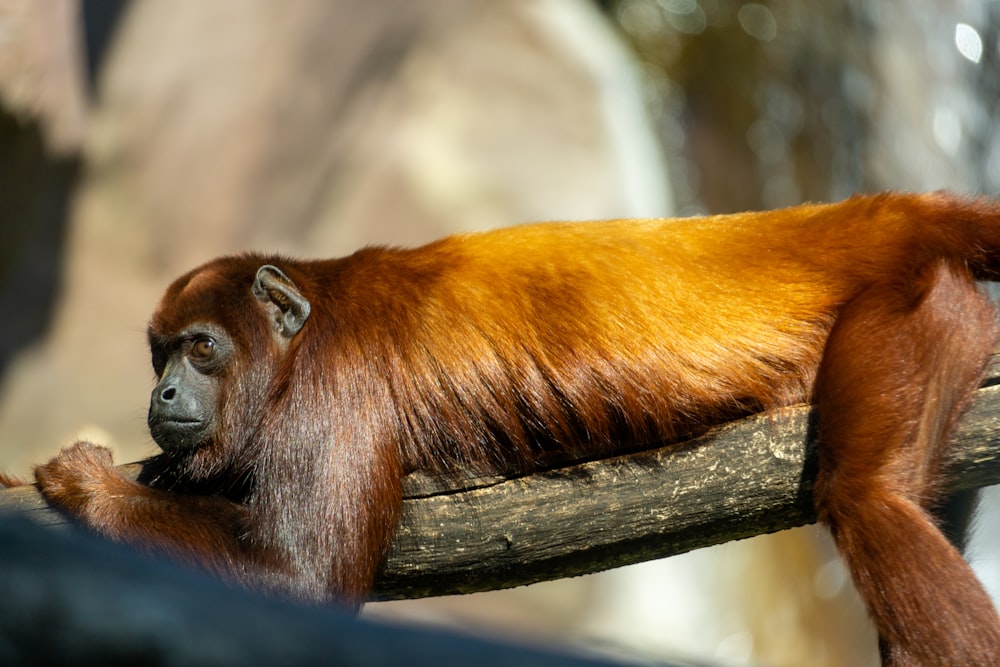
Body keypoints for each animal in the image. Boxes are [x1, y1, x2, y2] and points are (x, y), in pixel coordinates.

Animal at [13, 190, 1000, 664]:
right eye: (158, 355)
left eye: (203, 348)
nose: (161, 394)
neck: (304, 326)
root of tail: (878, 218)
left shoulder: (339, 390)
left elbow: (300, 580)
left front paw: (85, 482)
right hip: (946, 314)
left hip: (901, 304)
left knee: (868, 497)